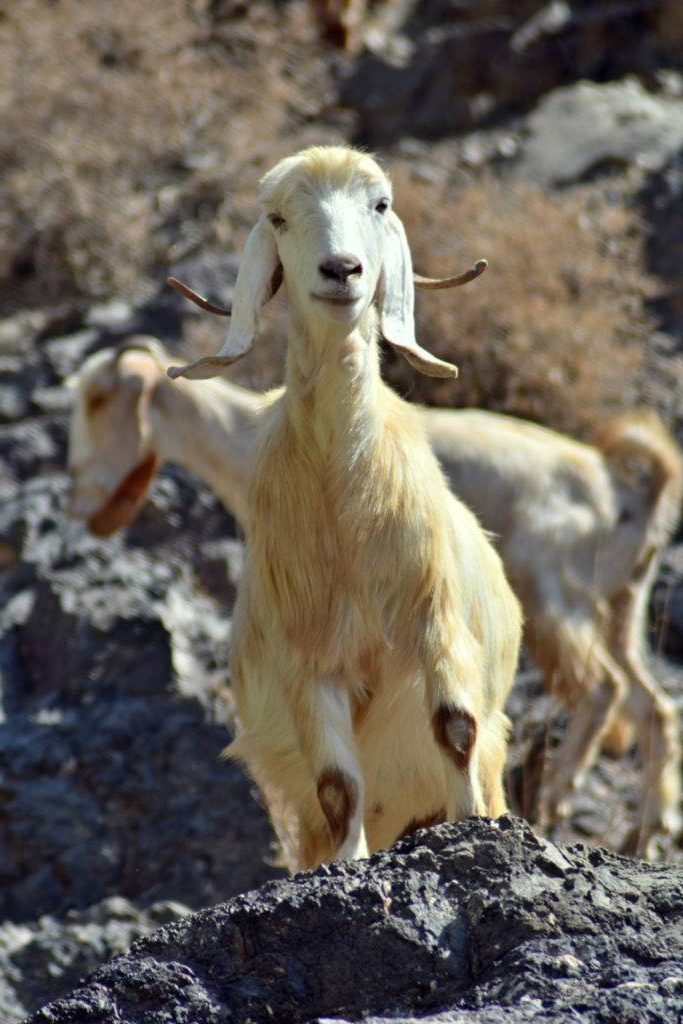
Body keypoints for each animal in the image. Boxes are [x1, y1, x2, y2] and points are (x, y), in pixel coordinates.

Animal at [66, 337, 679, 856]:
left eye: (97, 399)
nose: (80, 501)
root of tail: (629, 492)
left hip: (556, 599)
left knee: (601, 689)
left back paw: (554, 799)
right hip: (622, 609)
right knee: (652, 706)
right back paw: (642, 834)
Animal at [167, 142, 520, 864]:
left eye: (379, 204)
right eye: (278, 217)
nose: (342, 270)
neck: (343, 497)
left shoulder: (435, 622)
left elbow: (455, 728)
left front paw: (471, 825)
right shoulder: (312, 661)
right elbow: (337, 784)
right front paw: (349, 862)